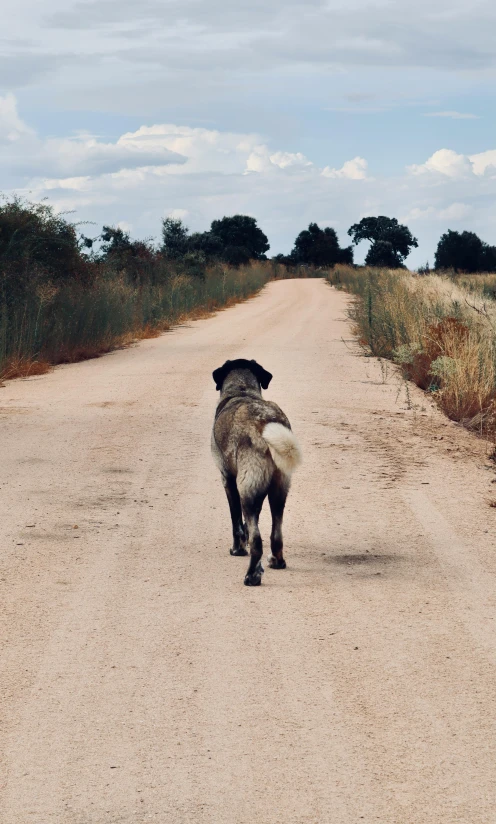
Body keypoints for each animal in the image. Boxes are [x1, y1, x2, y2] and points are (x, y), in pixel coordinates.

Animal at [210, 358, 300, 584]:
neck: (242, 389)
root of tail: (264, 423)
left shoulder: (228, 479)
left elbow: (236, 522)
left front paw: (237, 549)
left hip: (247, 491)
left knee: (257, 540)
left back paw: (251, 576)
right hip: (279, 491)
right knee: (276, 534)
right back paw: (276, 562)